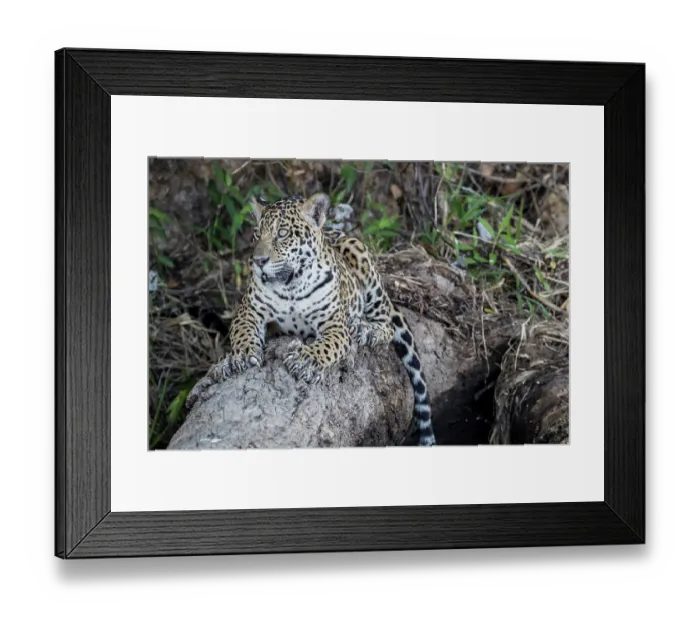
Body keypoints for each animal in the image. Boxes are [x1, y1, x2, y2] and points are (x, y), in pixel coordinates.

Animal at [185, 192, 436, 446]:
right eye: (257, 234)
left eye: (282, 233)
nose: (258, 261)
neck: (290, 285)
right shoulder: (249, 311)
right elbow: (242, 332)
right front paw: (243, 354)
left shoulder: (335, 325)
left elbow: (328, 345)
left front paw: (305, 360)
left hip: (359, 255)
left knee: (386, 321)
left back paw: (365, 329)